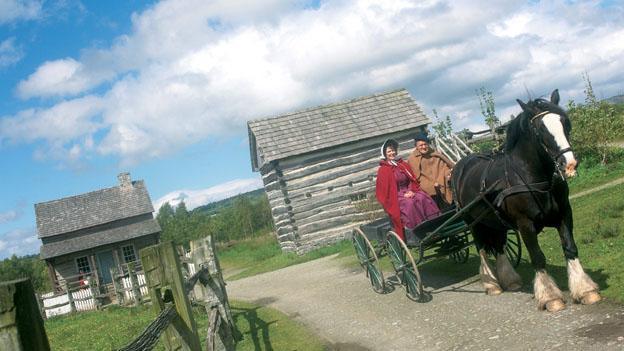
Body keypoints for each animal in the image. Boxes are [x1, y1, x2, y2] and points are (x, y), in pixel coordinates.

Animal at [450, 91, 604, 314]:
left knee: (499, 246)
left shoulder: (564, 214)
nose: (569, 164)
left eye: (565, 123)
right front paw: (550, 297)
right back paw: (491, 284)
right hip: (473, 222)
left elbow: (570, 248)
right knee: (482, 249)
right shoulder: (525, 225)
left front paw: (584, 290)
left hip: (495, 221)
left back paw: (510, 280)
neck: (533, 177)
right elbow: (538, 257)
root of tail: (460, 165)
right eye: (541, 130)